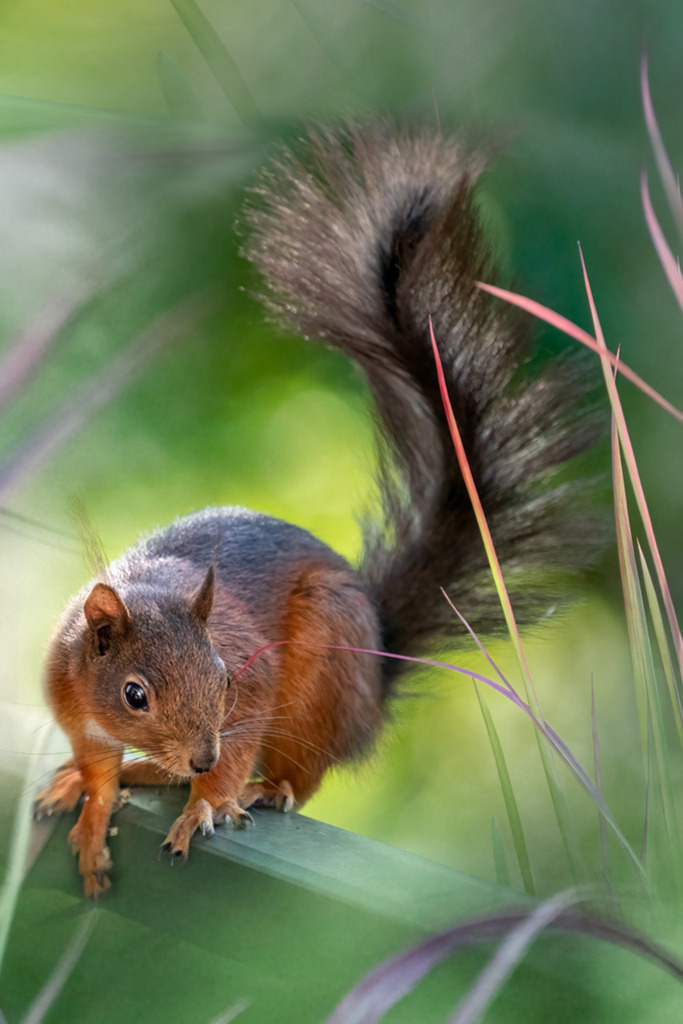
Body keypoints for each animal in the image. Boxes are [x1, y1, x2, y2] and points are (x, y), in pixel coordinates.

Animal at [34, 122, 600, 897]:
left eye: (225, 676)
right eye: (134, 695)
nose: (203, 757)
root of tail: (375, 676)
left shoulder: (251, 694)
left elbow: (237, 747)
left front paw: (206, 804)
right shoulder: (75, 705)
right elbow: (96, 766)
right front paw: (93, 808)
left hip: (320, 680)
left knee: (303, 775)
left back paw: (255, 788)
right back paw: (150, 774)